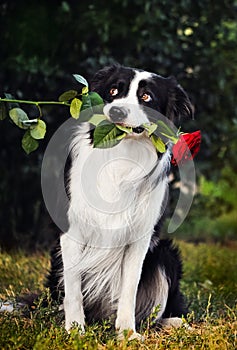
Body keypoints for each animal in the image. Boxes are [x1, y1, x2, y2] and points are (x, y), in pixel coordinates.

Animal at [46, 63, 194, 340]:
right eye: (114, 91)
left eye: (146, 97)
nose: (116, 111)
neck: (122, 154)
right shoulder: (72, 231)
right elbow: (73, 287)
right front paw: (75, 330)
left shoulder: (140, 237)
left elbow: (129, 288)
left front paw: (127, 332)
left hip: (165, 254)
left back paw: (174, 322)